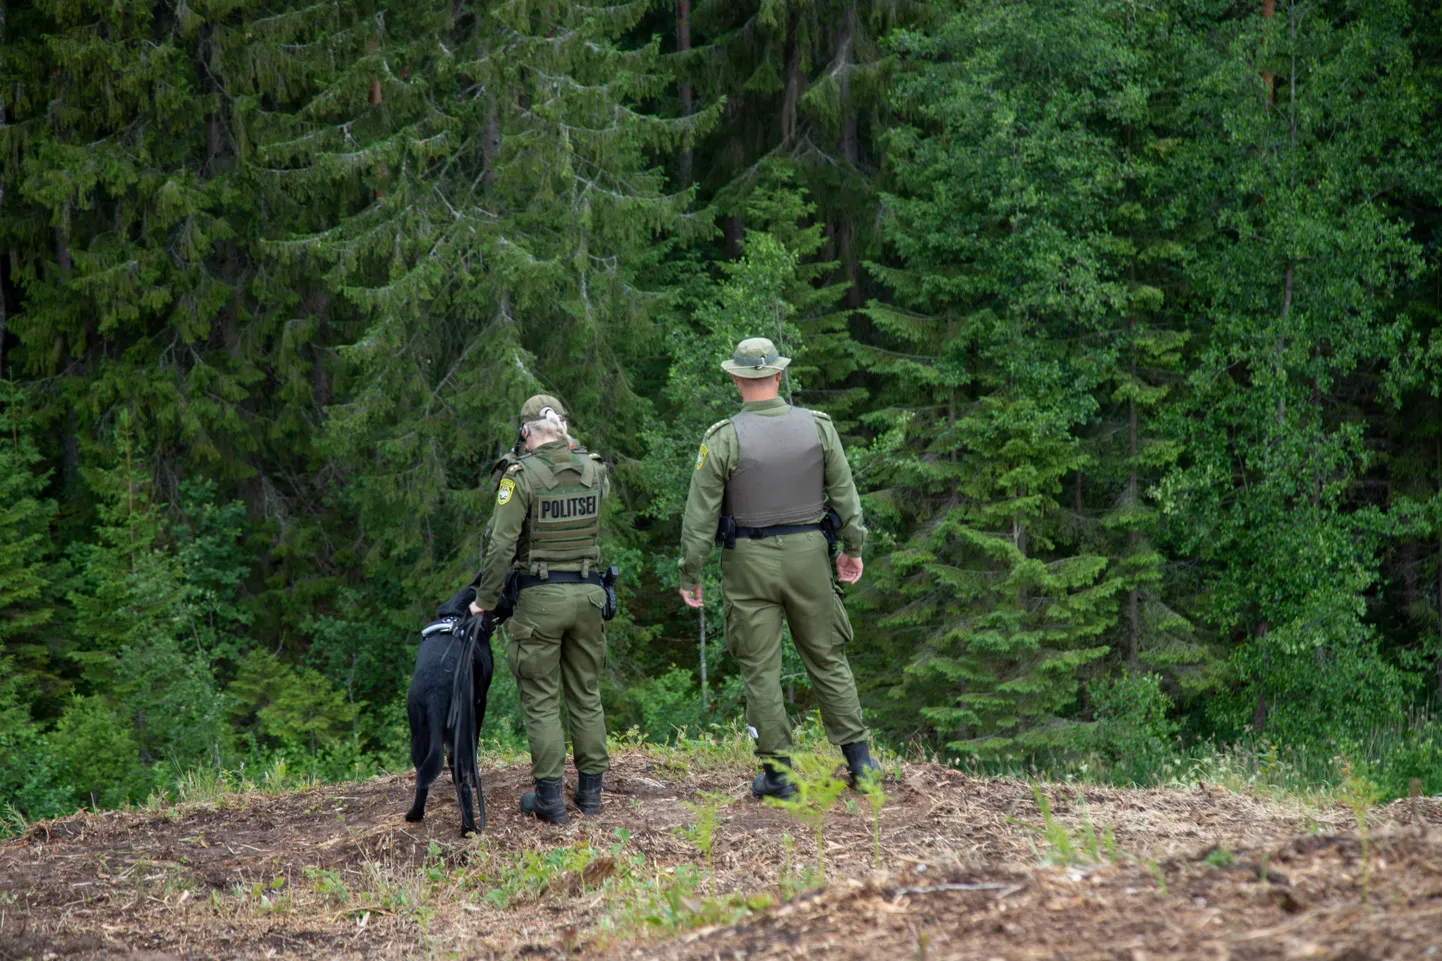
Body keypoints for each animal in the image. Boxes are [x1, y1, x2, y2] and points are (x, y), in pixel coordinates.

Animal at [406, 580, 496, 836]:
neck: (457, 614)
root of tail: (435, 692)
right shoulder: (480, 703)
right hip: (462, 728)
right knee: (464, 780)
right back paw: (469, 828)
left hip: (418, 735)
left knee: (422, 779)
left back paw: (415, 814)